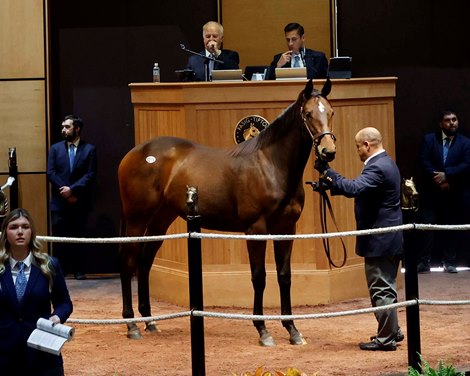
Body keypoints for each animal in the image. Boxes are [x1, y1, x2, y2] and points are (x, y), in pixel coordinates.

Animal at [119, 79, 336, 346]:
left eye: (331, 112)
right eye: (308, 114)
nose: (328, 151)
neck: (271, 166)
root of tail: (135, 153)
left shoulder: (287, 229)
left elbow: (284, 276)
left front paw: (293, 330)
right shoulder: (256, 230)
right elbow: (259, 277)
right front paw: (263, 330)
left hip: (161, 219)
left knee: (145, 261)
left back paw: (149, 321)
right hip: (137, 218)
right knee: (129, 261)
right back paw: (131, 325)